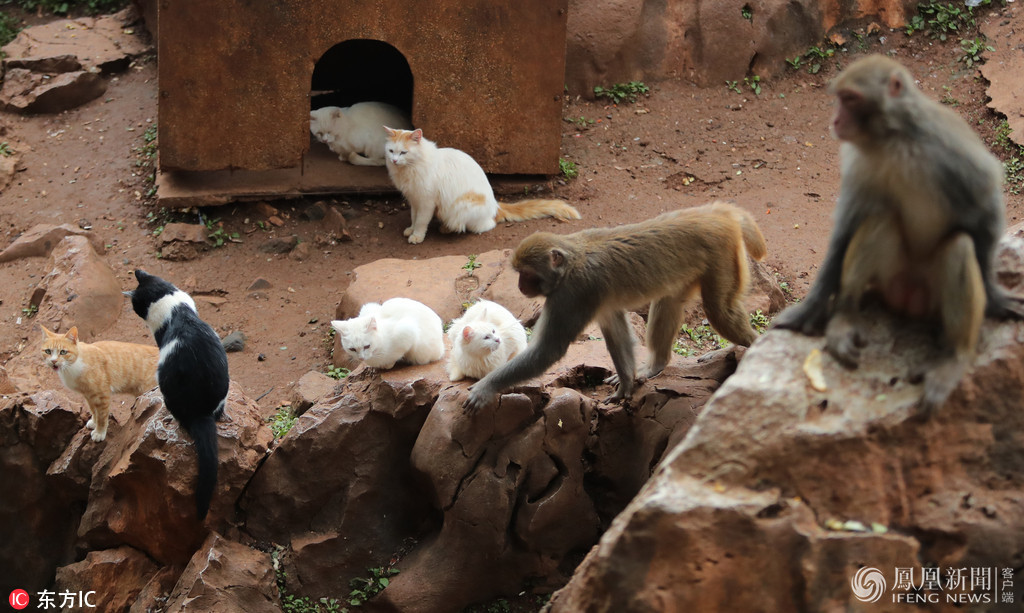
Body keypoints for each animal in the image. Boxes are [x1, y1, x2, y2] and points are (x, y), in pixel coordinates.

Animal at [382, 127, 581, 244]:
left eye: (403, 152)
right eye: (391, 151)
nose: (394, 160)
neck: (410, 169)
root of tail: (496, 206)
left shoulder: (426, 202)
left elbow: (421, 221)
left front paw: (417, 236)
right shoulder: (414, 199)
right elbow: (414, 217)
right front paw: (410, 230)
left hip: (460, 207)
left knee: (486, 225)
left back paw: (448, 229)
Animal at [464, 201, 770, 413]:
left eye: (527, 274)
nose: (520, 287)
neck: (571, 262)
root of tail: (717, 213)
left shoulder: (573, 295)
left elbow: (549, 350)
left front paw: (485, 388)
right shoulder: (593, 300)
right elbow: (615, 330)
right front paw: (626, 384)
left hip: (722, 256)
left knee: (720, 310)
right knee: (669, 301)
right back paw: (656, 364)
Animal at [770, 55, 1019, 415]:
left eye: (850, 99)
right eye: (840, 98)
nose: (836, 119)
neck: (894, 140)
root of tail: (909, 300)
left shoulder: (950, 151)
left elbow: (984, 203)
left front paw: (995, 296)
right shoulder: (859, 160)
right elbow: (848, 225)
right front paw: (810, 309)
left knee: (959, 246)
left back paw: (954, 357)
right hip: (890, 279)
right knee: (881, 220)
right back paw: (845, 316)